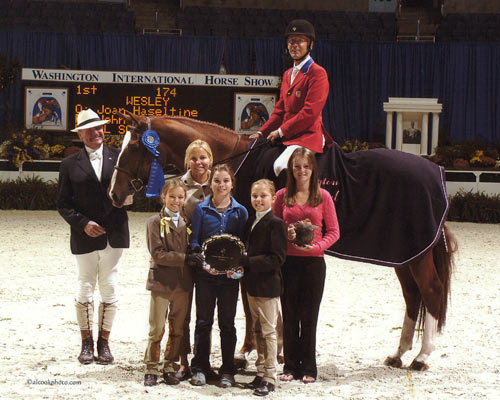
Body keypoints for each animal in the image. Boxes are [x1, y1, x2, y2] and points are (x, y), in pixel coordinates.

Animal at [110, 111, 458, 370]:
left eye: (133, 148)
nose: (115, 193)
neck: (234, 160)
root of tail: (436, 171)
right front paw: (269, 347)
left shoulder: (246, 244)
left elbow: (249, 300)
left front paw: (248, 351)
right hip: (405, 254)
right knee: (413, 296)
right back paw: (398, 354)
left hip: (416, 253)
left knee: (430, 290)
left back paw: (422, 357)